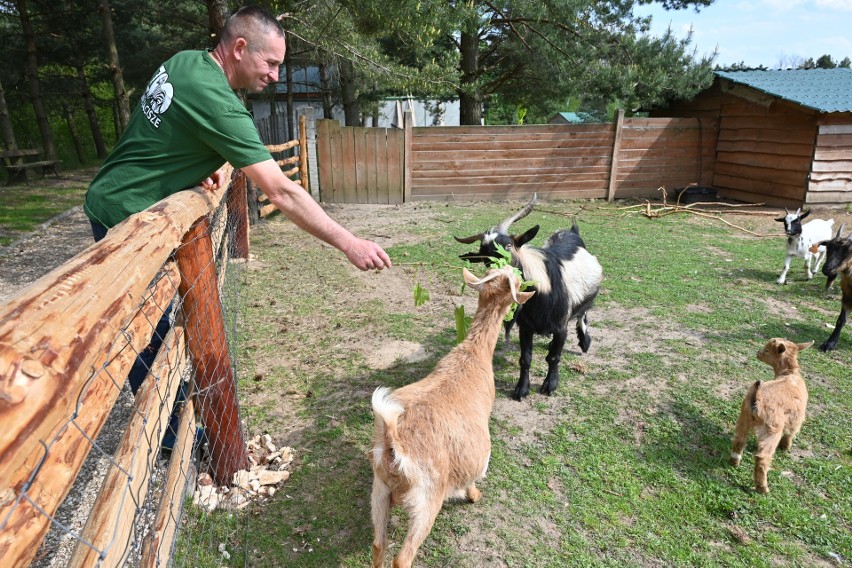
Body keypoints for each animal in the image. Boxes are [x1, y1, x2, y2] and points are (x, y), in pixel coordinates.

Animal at [368, 266, 528, 568]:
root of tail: (394, 446)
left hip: (379, 490)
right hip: (428, 497)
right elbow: (472, 478)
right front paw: (474, 496)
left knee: (378, 544)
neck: (474, 354)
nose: (520, 272)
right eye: (516, 279)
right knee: (402, 558)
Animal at [456, 195, 604, 400]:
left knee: (583, 312)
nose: (497, 275)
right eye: (483, 254)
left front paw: (550, 385)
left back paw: (584, 341)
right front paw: (521, 389)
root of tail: (573, 232)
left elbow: (554, 357)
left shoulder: (561, 327)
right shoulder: (526, 327)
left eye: (508, 246)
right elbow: (525, 359)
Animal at [724, 338, 812, 492]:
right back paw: (763, 488)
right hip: (772, 429)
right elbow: (790, 433)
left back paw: (734, 462)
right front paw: (786, 447)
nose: (758, 352)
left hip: (744, 417)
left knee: (739, 440)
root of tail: (757, 397)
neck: (789, 373)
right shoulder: (797, 418)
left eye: (766, 350)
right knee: (762, 457)